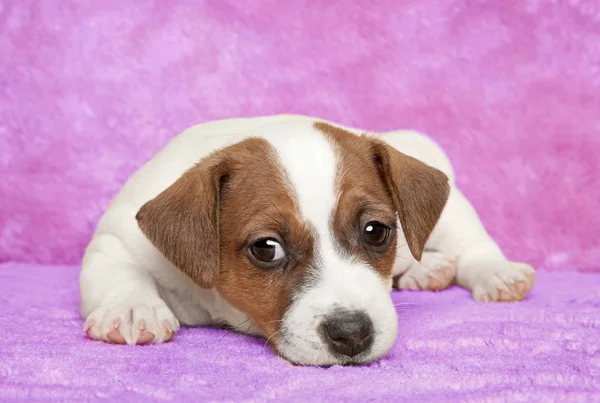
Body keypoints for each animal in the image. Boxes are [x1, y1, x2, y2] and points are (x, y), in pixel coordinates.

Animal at [78, 113, 536, 366]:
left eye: (375, 231)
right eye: (266, 248)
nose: (353, 335)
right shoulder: (115, 240)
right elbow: (121, 270)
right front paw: (133, 307)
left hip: (451, 203)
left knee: (471, 241)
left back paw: (494, 271)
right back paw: (429, 270)